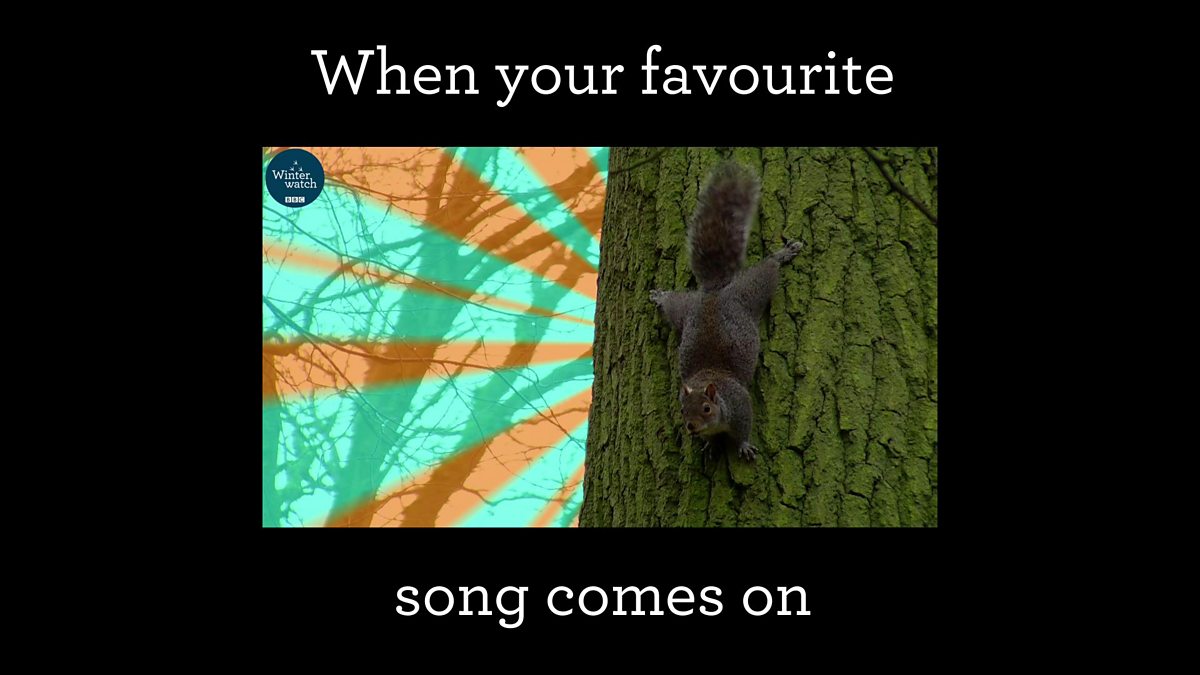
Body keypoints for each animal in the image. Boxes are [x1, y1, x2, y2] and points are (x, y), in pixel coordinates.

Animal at [650, 160, 803, 461]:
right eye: (682, 410)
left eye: (706, 408)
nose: (691, 427)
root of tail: (714, 290)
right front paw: (709, 445)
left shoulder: (740, 404)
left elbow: (744, 428)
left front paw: (743, 446)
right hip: (685, 311)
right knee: (674, 303)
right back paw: (661, 297)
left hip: (751, 290)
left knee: (767, 269)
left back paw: (783, 254)